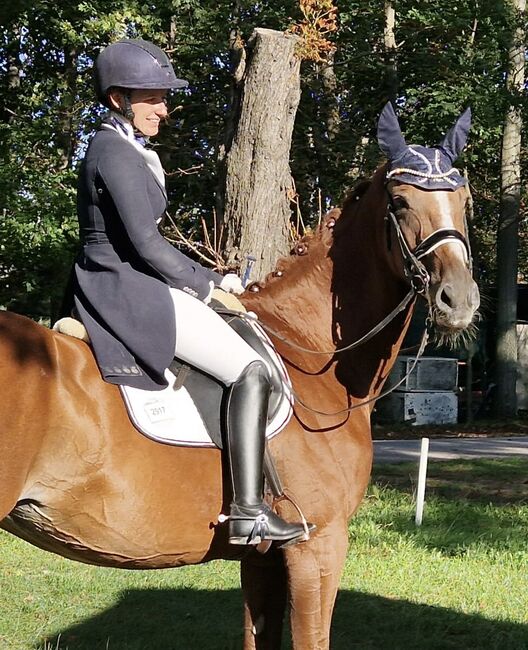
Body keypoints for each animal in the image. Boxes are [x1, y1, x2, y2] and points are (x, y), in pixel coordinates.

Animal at [0, 104, 478, 644]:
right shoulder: (319, 546)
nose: (458, 301)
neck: (310, 354)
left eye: (464, 200)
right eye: (399, 202)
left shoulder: (264, 560)